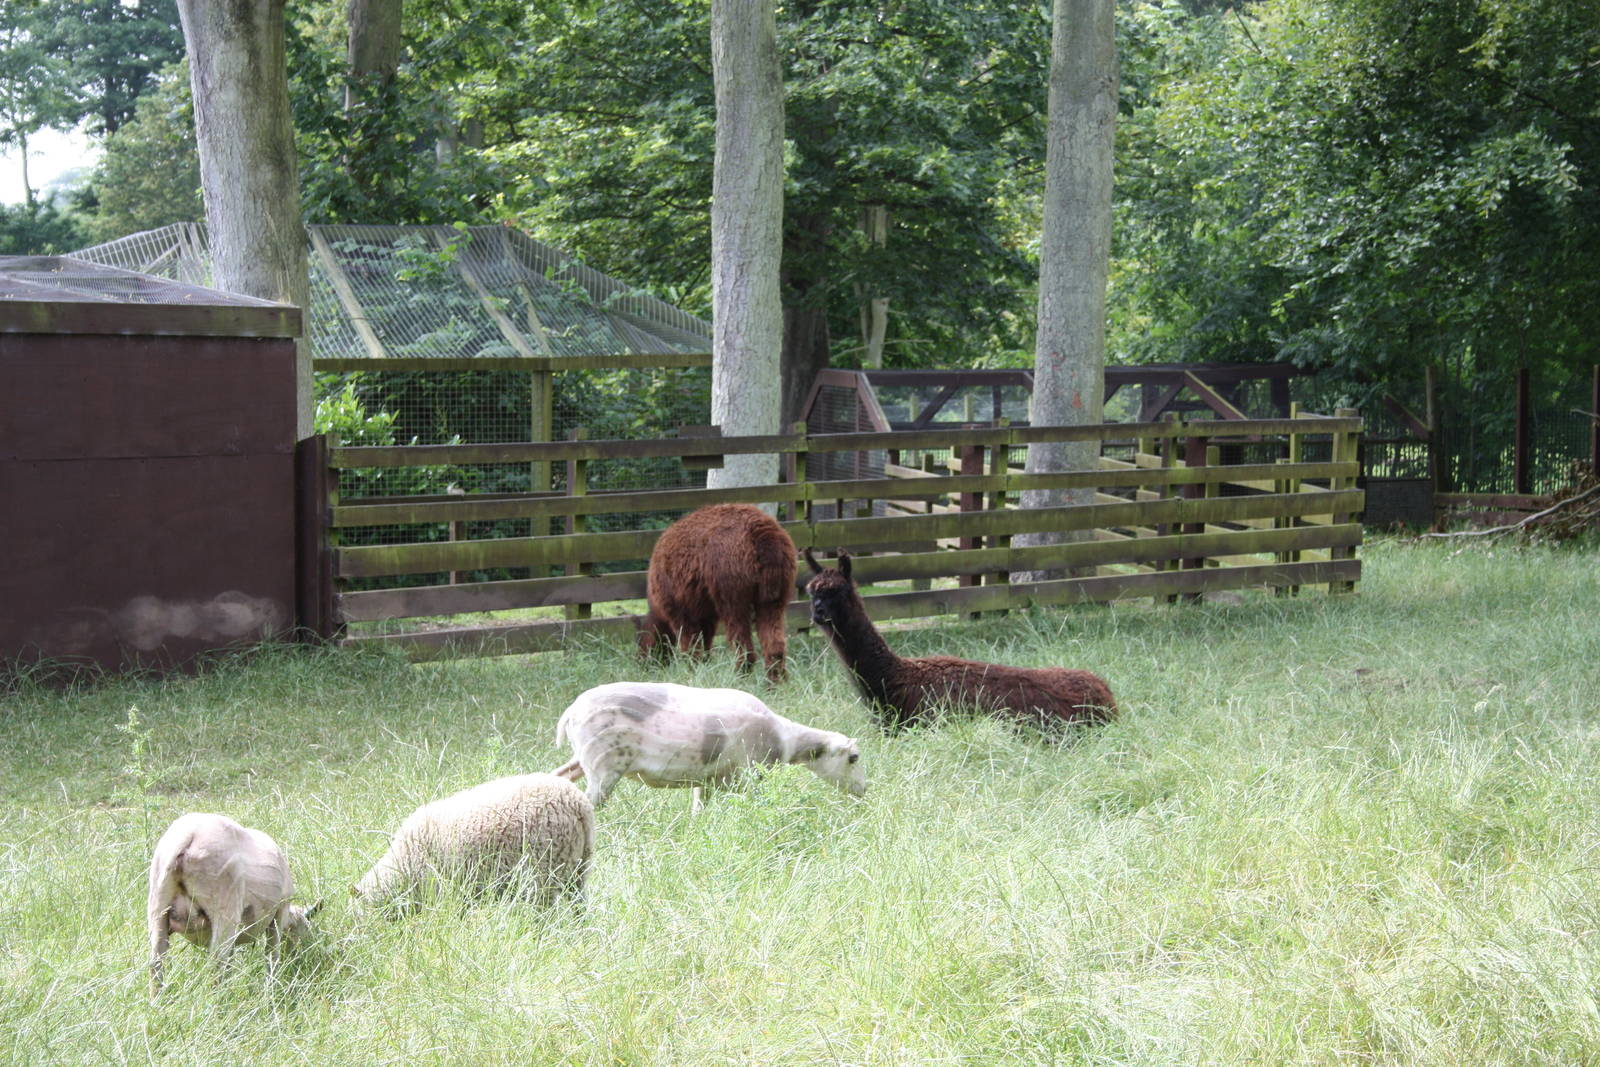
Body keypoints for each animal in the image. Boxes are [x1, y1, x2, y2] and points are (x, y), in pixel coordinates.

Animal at [146, 813, 315, 998]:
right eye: (304, 928)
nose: (299, 957)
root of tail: (189, 836)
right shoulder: (279, 913)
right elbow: (272, 955)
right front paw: (271, 991)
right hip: (225, 907)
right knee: (217, 962)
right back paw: (219, 1001)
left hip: (158, 905)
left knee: (156, 961)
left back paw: (157, 1000)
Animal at [552, 681, 866, 811]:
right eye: (854, 757)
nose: (863, 791)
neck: (786, 738)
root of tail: (571, 712)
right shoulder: (756, 772)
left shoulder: (707, 781)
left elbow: (698, 810)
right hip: (603, 767)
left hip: (584, 761)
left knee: (558, 777)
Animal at [638, 503, 798, 682]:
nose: (644, 667)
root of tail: (764, 536)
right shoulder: (705, 612)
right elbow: (705, 641)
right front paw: (704, 666)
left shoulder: (680, 608)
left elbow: (690, 645)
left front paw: (692, 672)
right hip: (775, 592)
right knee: (775, 646)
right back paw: (775, 683)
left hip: (731, 586)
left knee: (743, 644)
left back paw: (740, 677)